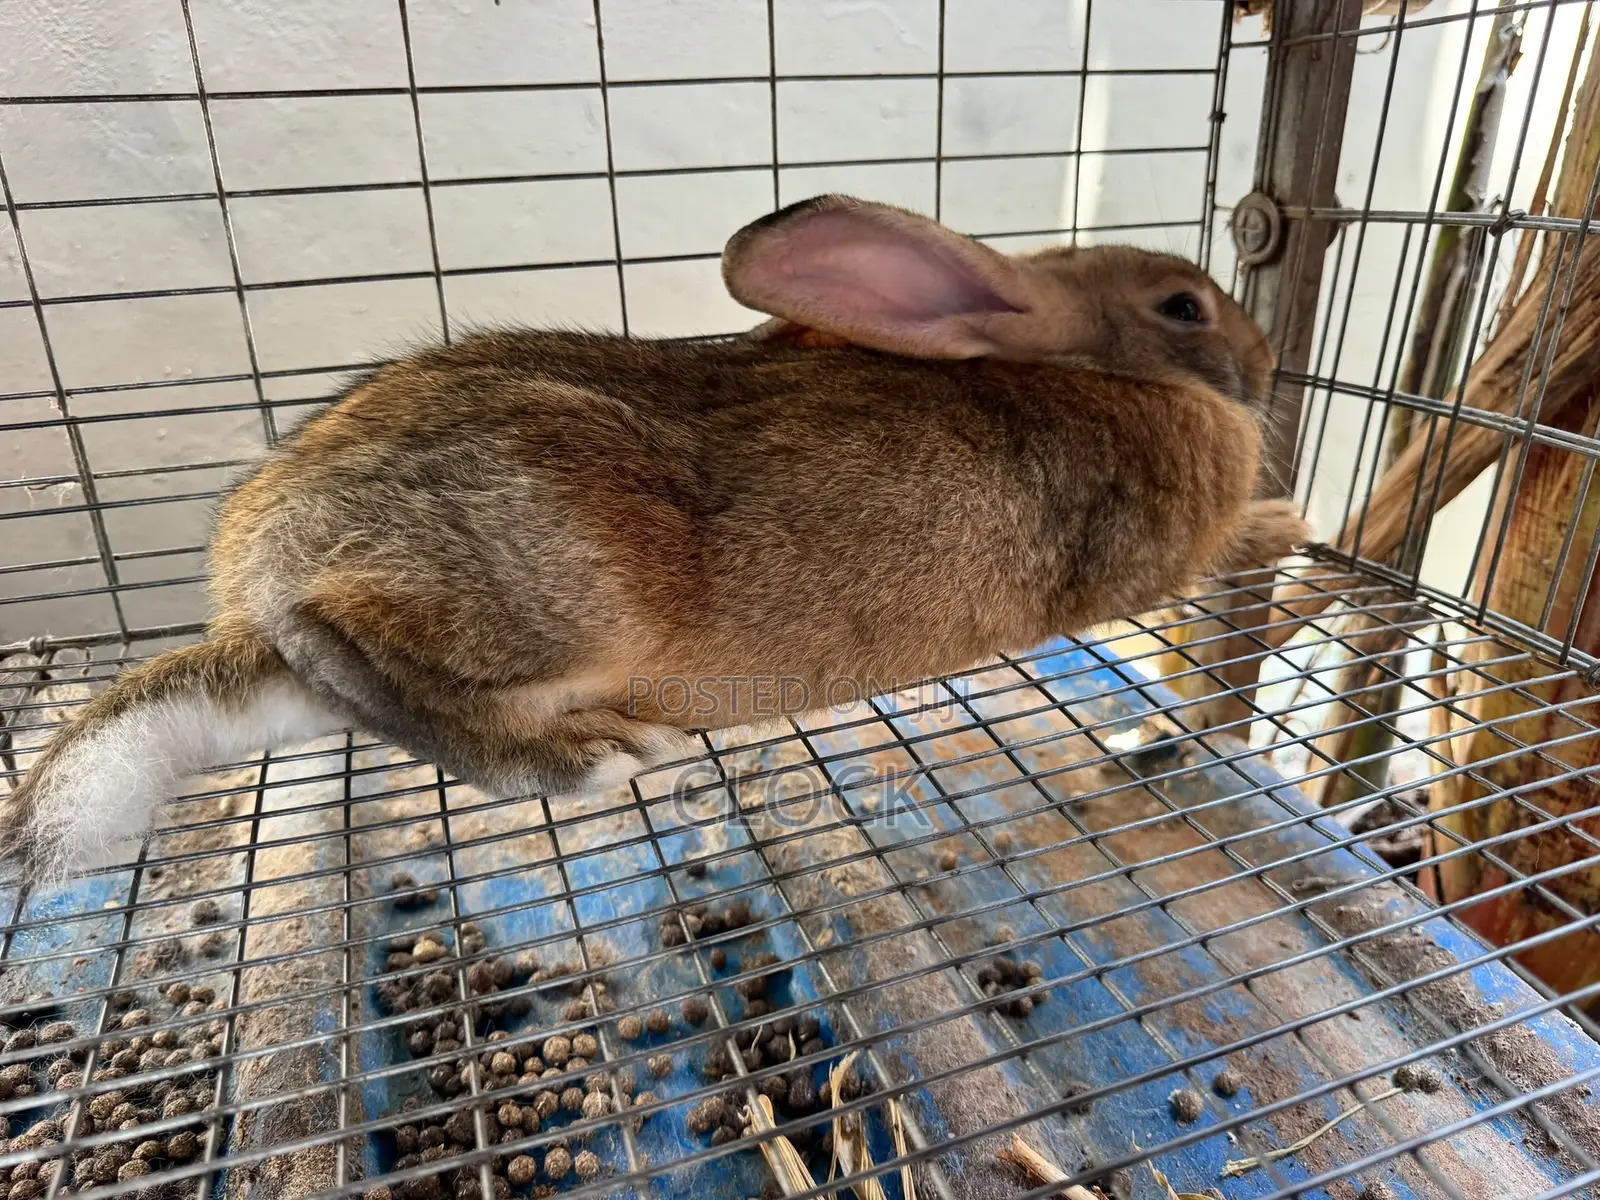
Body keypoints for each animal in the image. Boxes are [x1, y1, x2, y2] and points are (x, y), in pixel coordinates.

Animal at [0, 194, 1308, 883]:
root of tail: (251, 588)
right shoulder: (1145, 558)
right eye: (1183, 305)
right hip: (556, 583)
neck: (1095, 371)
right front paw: (1285, 525)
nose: (1265, 363)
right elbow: (1206, 566)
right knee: (357, 653)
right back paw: (592, 756)